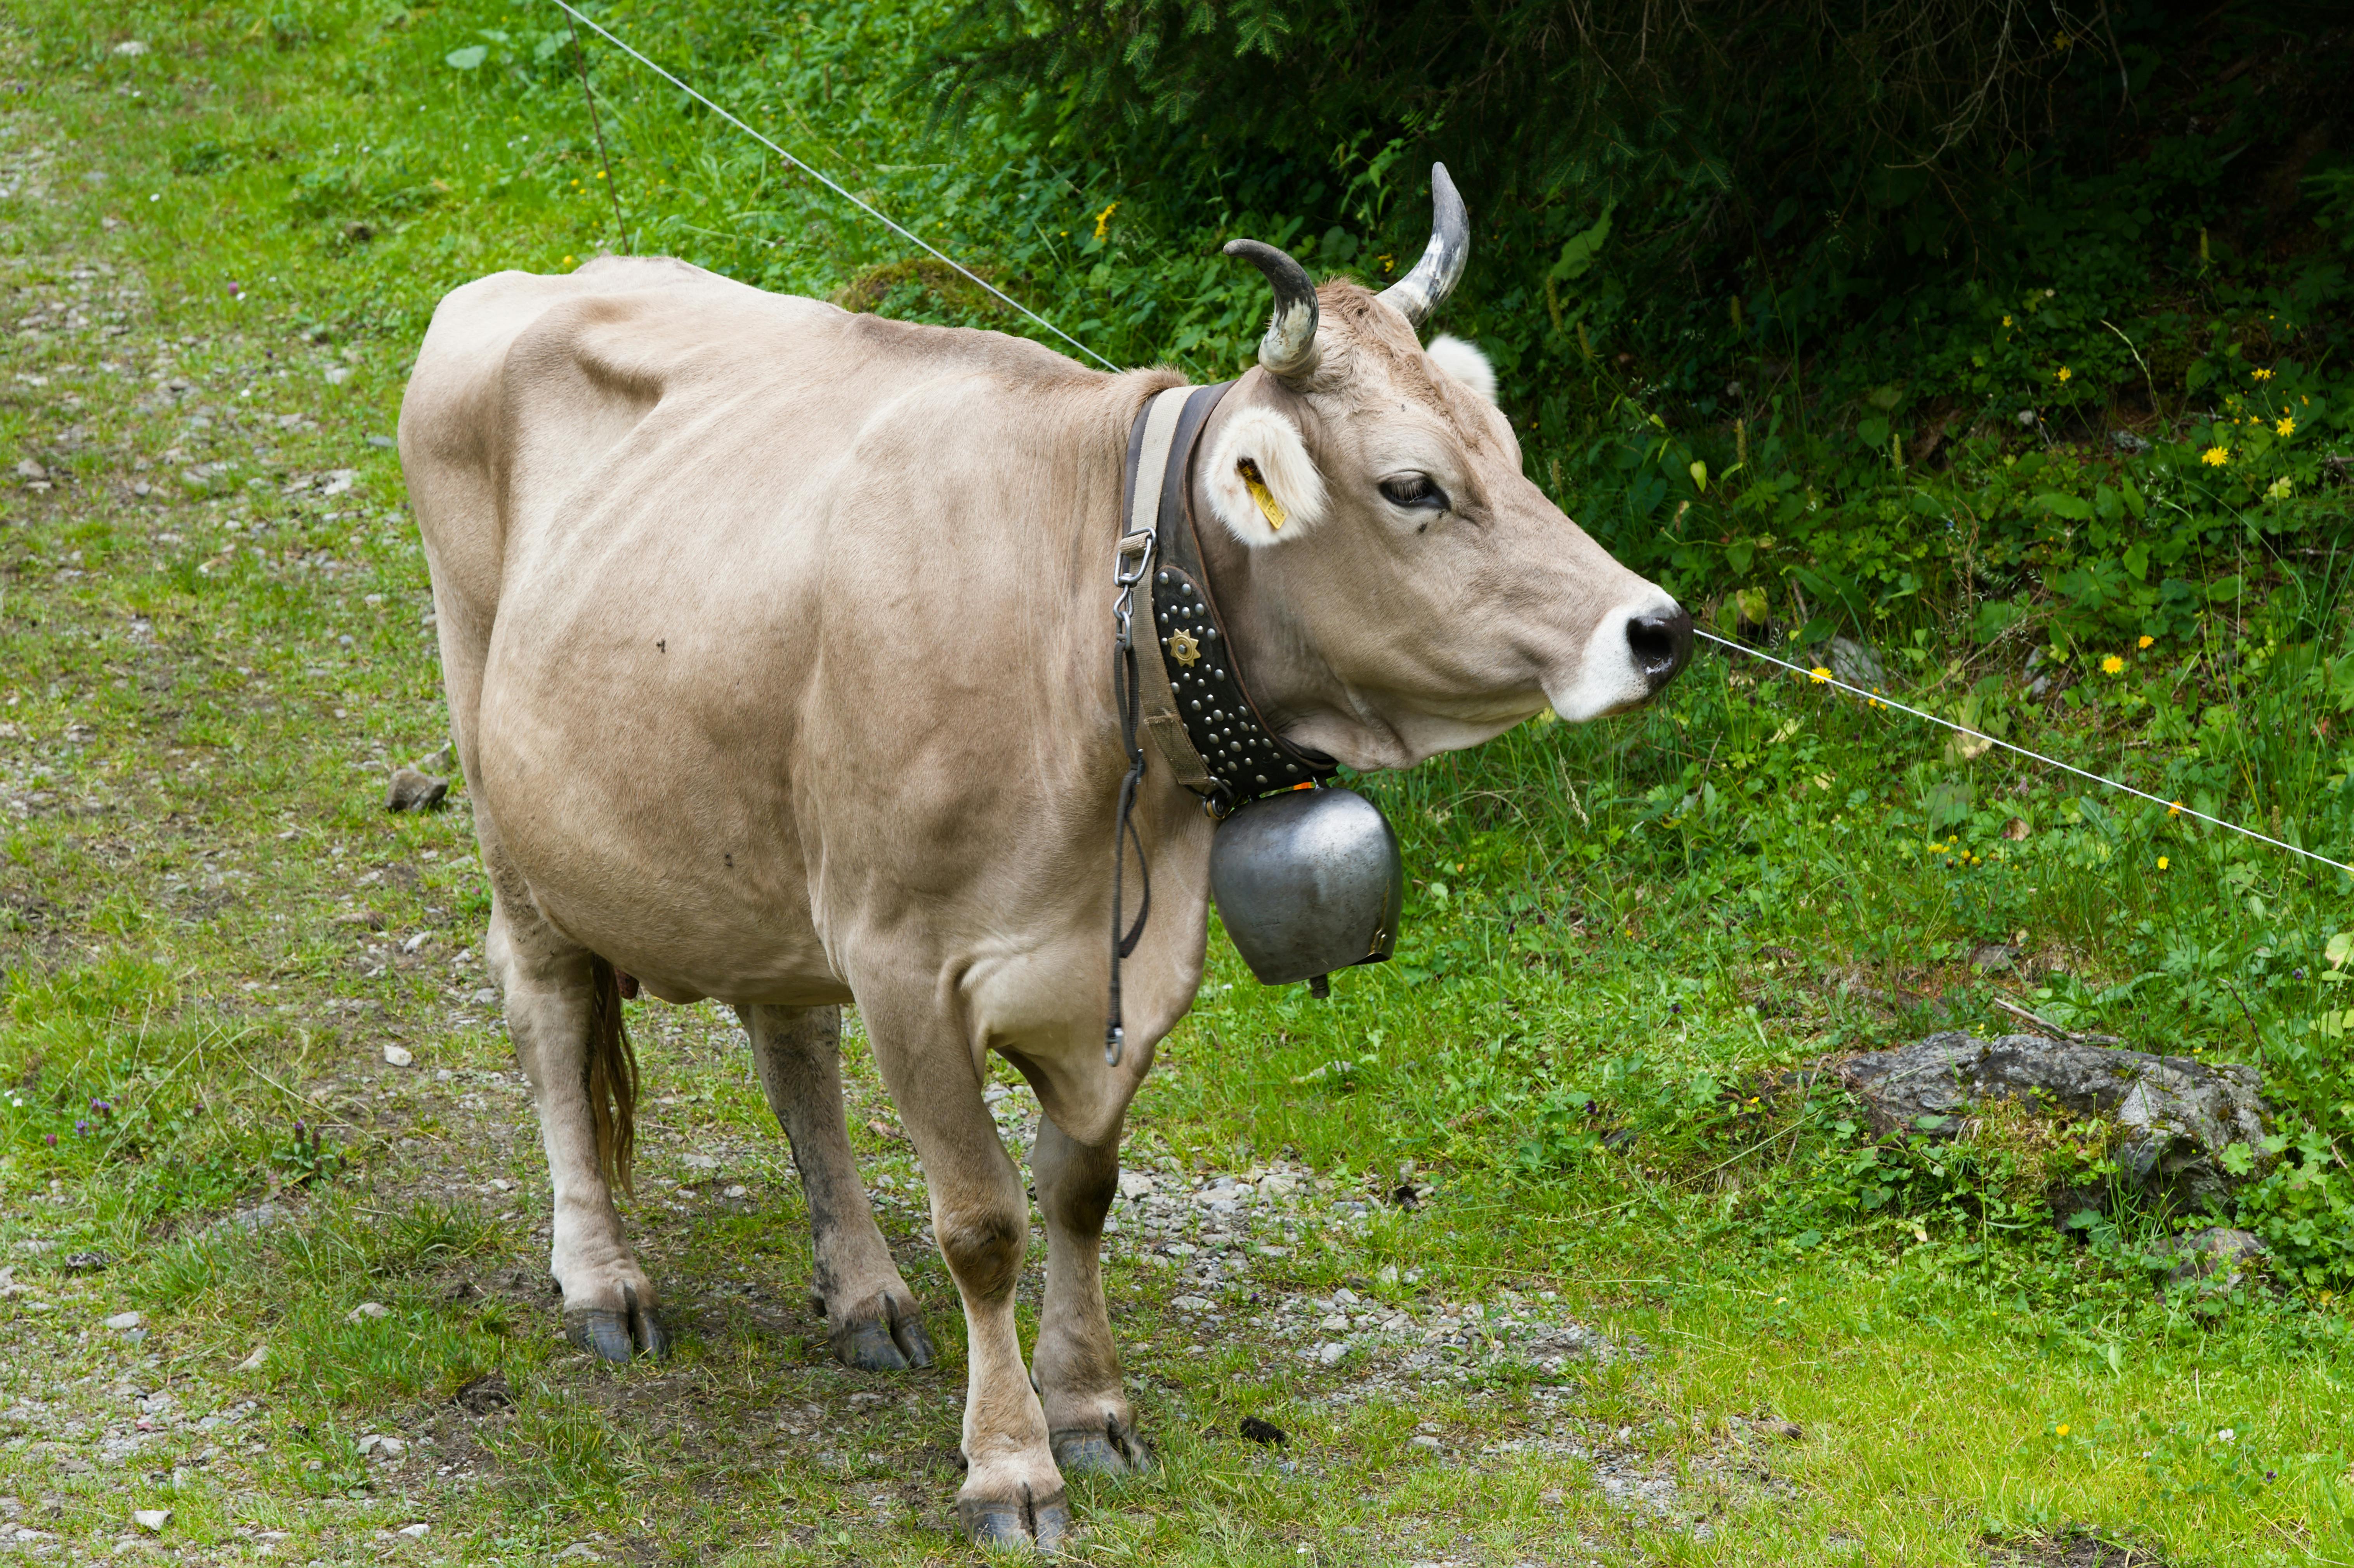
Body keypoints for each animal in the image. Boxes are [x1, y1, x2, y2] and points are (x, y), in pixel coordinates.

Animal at [397, 164, 1689, 1548]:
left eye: (1507, 451)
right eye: (1412, 487)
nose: (1655, 629)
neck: (1093, 615)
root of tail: (535, 279)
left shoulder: (1129, 965)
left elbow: (1080, 1191)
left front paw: (1091, 1406)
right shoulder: (904, 962)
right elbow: (982, 1222)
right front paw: (1009, 1462)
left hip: (771, 856)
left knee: (791, 1044)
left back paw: (862, 1291)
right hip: (507, 791)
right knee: (548, 1005)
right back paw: (604, 1279)